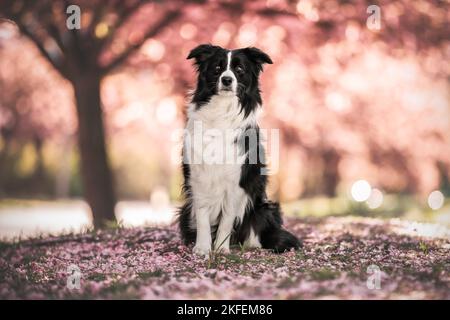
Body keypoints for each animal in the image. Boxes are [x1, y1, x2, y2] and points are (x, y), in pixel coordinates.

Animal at [178, 44, 300, 255]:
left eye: (239, 69)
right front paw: (203, 248)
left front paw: (220, 249)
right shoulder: (199, 178)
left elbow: (227, 219)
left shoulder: (237, 181)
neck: (222, 109)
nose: (227, 79)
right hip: (184, 212)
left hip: (265, 207)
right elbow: (202, 216)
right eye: (217, 68)